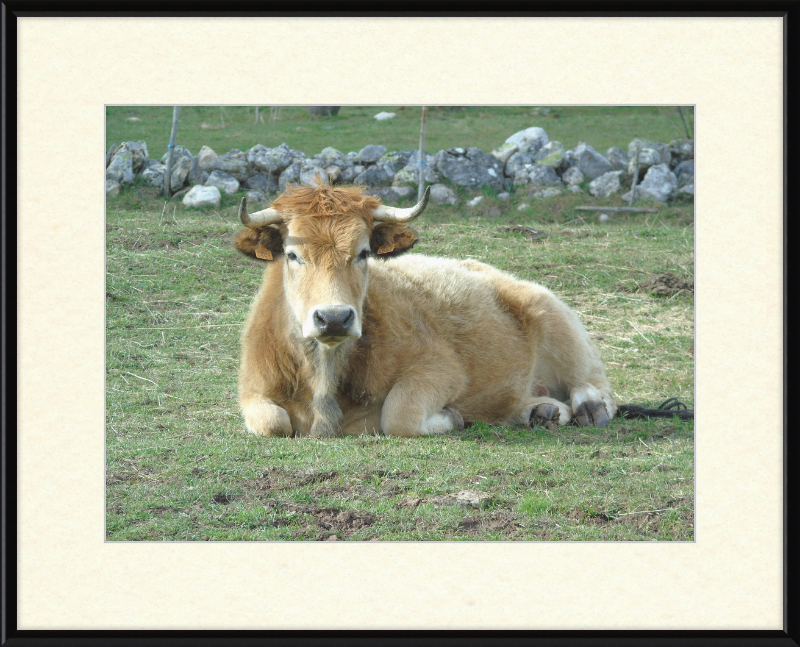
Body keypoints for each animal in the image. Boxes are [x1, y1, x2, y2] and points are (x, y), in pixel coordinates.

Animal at [234, 180, 616, 438]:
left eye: (363, 252)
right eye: (292, 254)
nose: (334, 318)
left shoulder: (442, 370)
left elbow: (398, 414)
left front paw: (452, 418)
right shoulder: (253, 391)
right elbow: (272, 422)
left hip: (558, 321)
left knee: (595, 383)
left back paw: (589, 407)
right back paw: (542, 411)